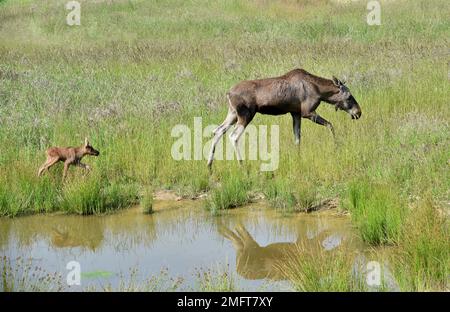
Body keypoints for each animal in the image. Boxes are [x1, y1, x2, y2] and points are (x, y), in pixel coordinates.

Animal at [207, 69, 362, 169]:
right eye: (349, 97)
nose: (358, 112)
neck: (319, 91)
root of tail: (228, 93)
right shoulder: (307, 112)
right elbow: (330, 125)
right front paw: (336, 146)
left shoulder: (296, 114)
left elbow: (297, 139)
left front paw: (298, 159)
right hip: (245, 115)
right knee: (233, 136)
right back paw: (241, 164)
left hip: (232, 114)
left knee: (217, 131)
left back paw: (209, 165)